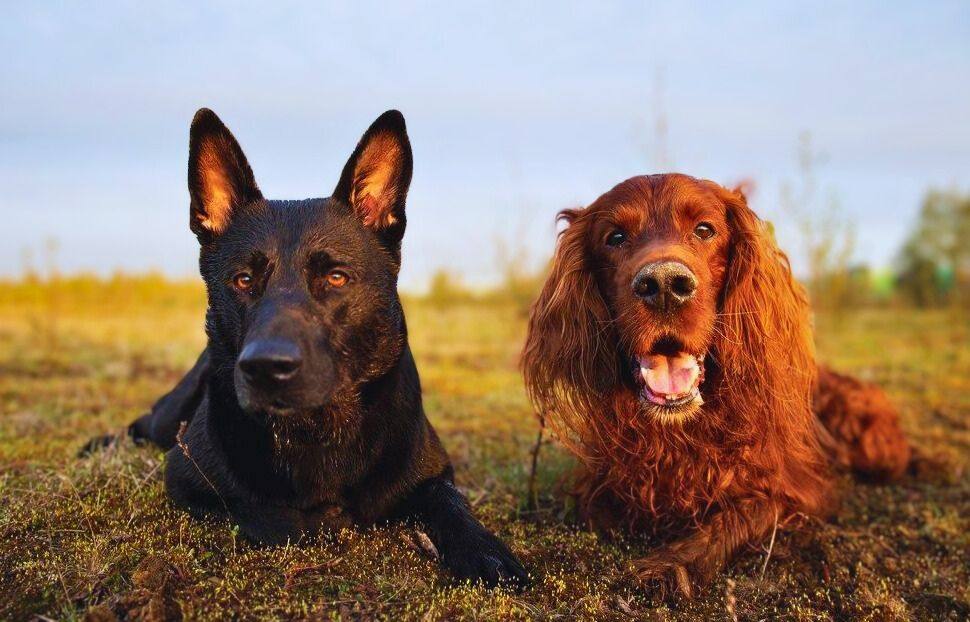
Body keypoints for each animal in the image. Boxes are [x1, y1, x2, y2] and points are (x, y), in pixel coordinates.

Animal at [84, 108, 528, 588]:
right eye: (244, 280)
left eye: (335, 277)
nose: (265, 367)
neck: (315, 429)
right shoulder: (186, 477)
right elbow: (265, 511)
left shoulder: (433, 474)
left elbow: (451, 503)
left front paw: (484, 550)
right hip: (171, 416)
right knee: (142, 423)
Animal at [520, 174, 908, 600]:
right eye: (615, 237)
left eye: (705, 230)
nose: (664, 285)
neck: (678, 434)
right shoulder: (599, 480)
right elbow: (600, 507)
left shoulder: (797, 488)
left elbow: (741, 514)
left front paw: (672, 565)